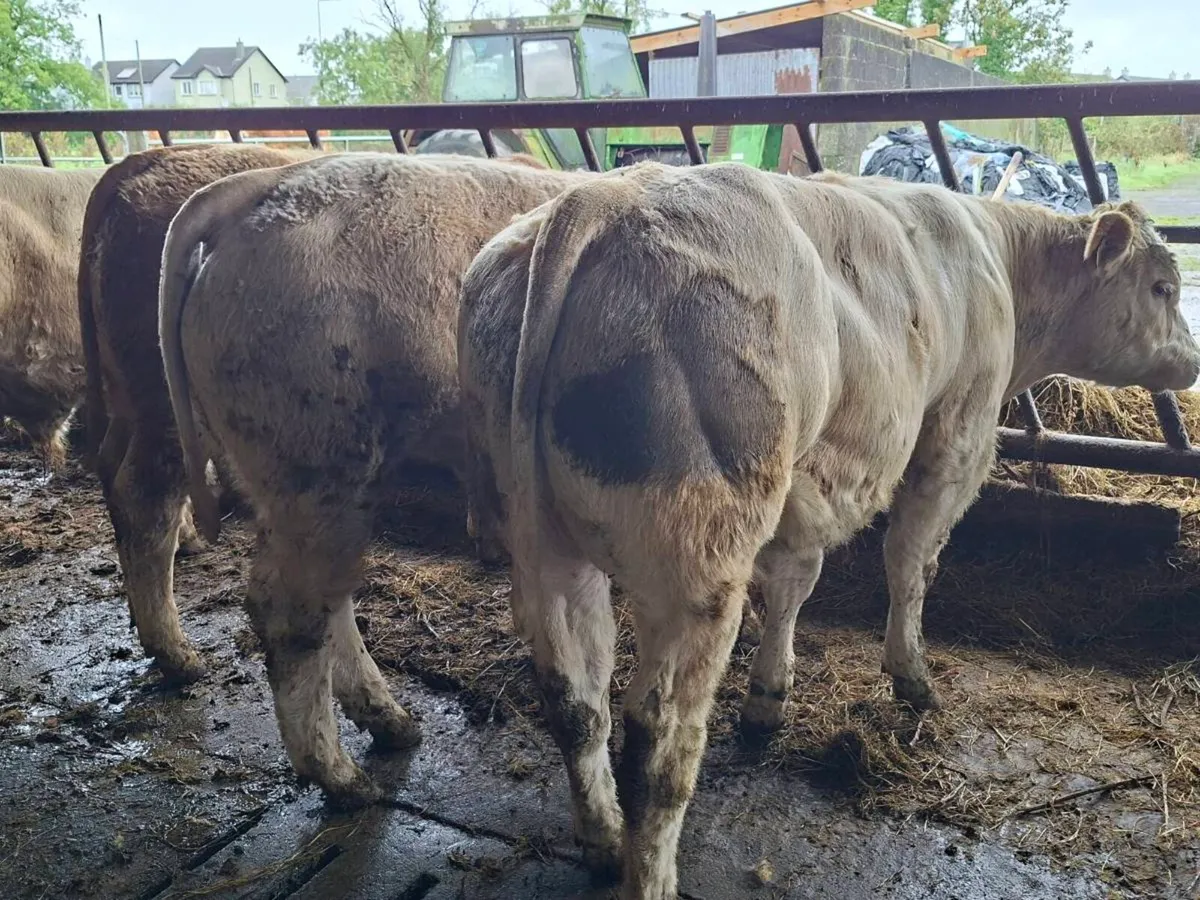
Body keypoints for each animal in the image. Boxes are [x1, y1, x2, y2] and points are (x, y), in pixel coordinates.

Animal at [78, 143, 319, 684]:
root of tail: (140, 164)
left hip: (131, 396)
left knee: (113, 465)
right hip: (168, 401)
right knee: (143, 494)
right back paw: (178, 657)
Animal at [157, 151, 599, 806]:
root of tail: (262, 189)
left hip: (311, 486)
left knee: (327, 599)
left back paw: (394, 725)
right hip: (320, 461)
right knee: (287, 608)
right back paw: (341, 776)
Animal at [456, 160, 1200, 899]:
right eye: (1163, 286)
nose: (1193, 362)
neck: (997, 257)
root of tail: (603, 196)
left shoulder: (808, 482)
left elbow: (794, 580)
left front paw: (769, 696)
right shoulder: (957, 433)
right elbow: (912, 561)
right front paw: (912, 676)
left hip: (547, 544)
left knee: (575, 699)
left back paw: (604, 838)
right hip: (699, 554)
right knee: (658, 733)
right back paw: (652, 871)